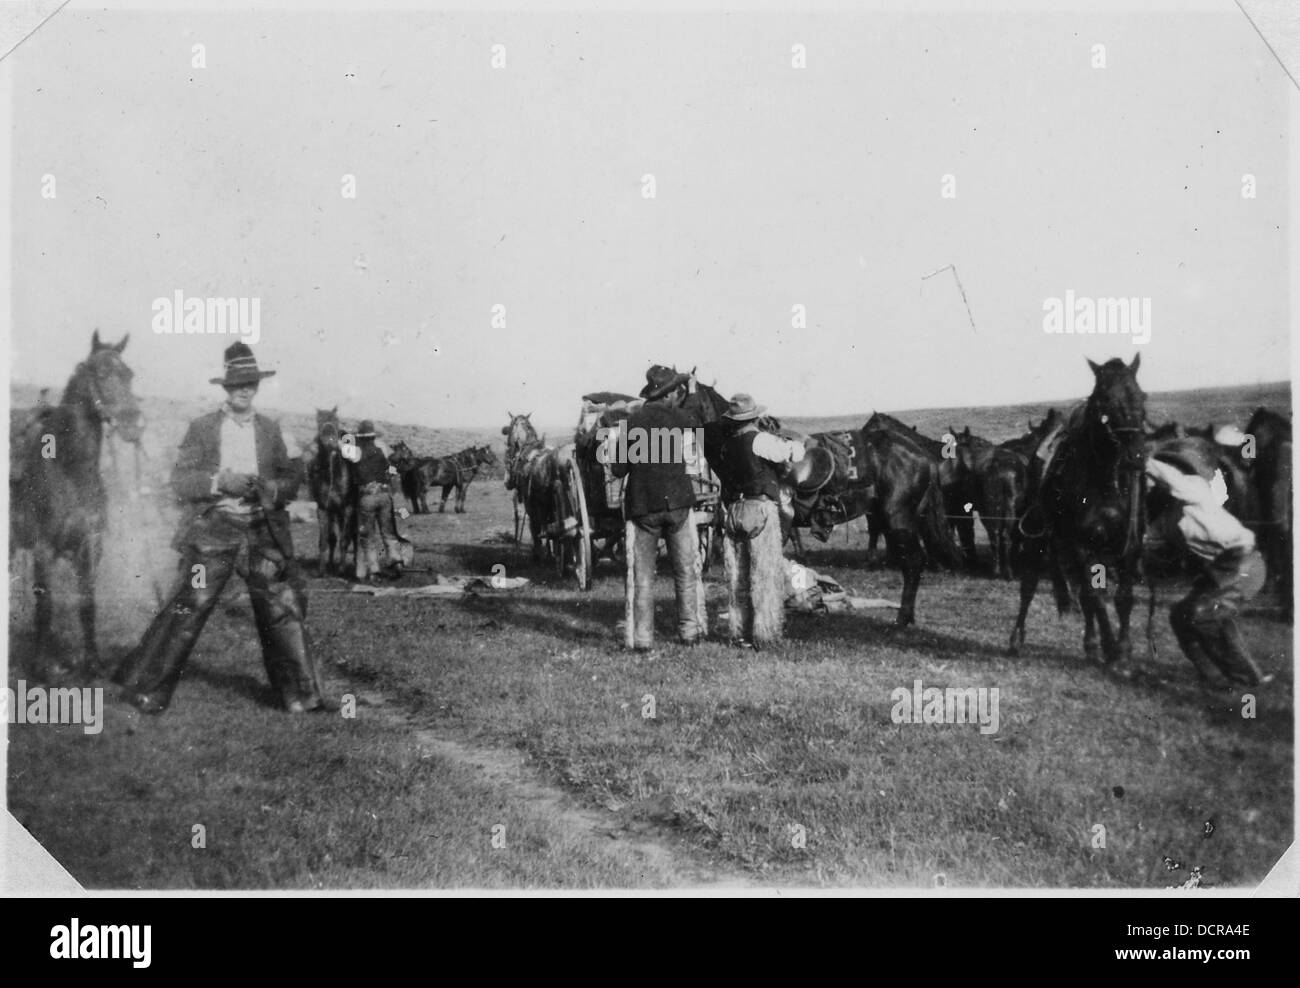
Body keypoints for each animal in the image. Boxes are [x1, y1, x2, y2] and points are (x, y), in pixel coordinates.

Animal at [8, 331, 145, 681]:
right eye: (101, 373)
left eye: (129, 374)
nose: (133, 425)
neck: (69, 470)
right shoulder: (42, 549)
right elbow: (45, 607)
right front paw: (42, 668)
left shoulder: (90, 546)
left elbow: (88, 605)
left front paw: (93, 663)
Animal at [308, 408, 358, 579]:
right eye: (319, 421)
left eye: (336, 421)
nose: (328, 440)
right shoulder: (324, 509)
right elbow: (325, 540)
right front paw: (322, 570)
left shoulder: (348, 509)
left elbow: (344, 540)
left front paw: (341, 570)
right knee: (333, 538)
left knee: (353, 538)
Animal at [1003, 356, 1149, 663]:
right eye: (1104, 400)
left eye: (1142, 396)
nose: (1136, 456)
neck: (1105, 481)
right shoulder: (1083, 545)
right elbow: (1096, 596)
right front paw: (1110, 649)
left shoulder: (1129, 547)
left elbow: (1123, 597)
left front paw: (1123, 651)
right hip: (1038, 543)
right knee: (1029, 586)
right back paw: (1016, 639)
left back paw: (1091, 645)